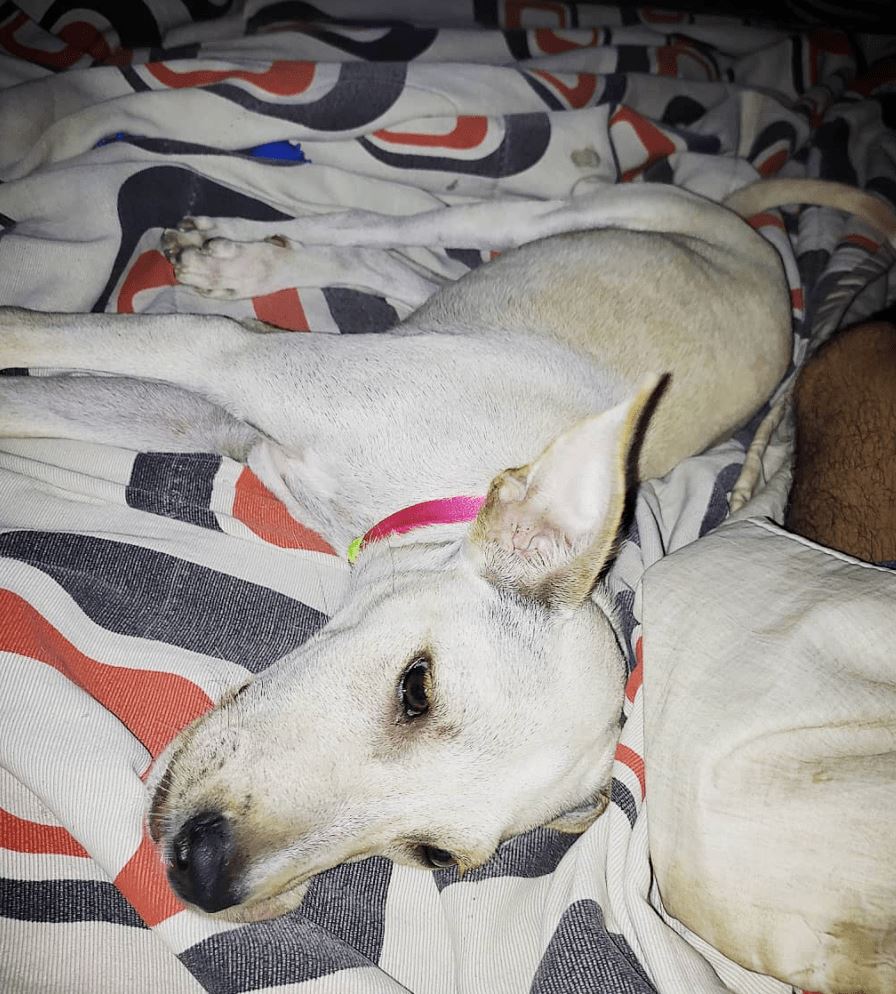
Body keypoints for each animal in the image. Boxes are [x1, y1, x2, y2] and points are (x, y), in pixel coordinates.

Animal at [1, 178, 892, 923]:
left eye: (431, 856)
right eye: (417, 689)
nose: (203, 874)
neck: (446, 485)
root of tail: (760, 251)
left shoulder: (208, 418)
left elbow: (37, 402)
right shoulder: (225, 357)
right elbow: (52, 343)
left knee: (402, 264)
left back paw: (257, 260)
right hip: (543, 217)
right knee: (391, 222)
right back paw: (232, 247)